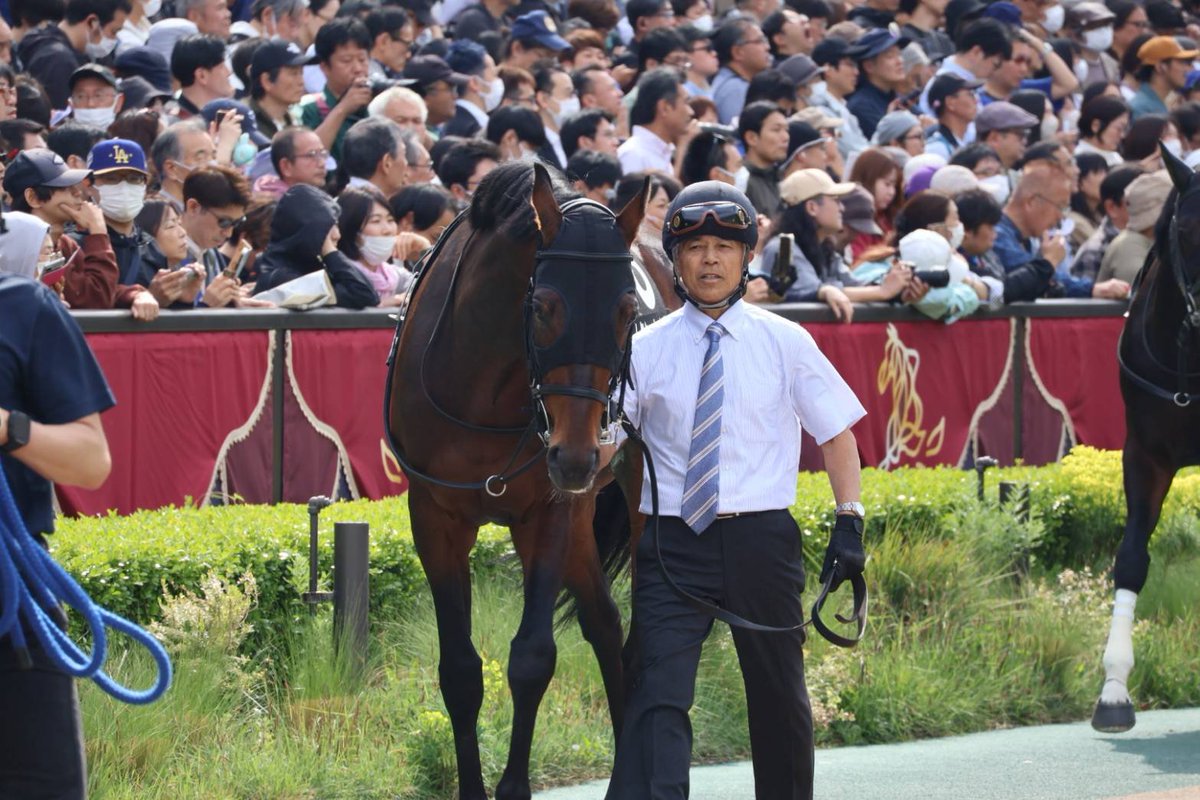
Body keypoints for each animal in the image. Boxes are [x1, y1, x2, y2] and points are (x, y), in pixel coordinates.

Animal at [385, 160, 646, 799]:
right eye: (545, 306)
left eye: (628, 311)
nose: (576, 455)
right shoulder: (435, 517)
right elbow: (459, 670)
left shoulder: (548, 511)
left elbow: (532, 659)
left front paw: (512, 787)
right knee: (605, 622)